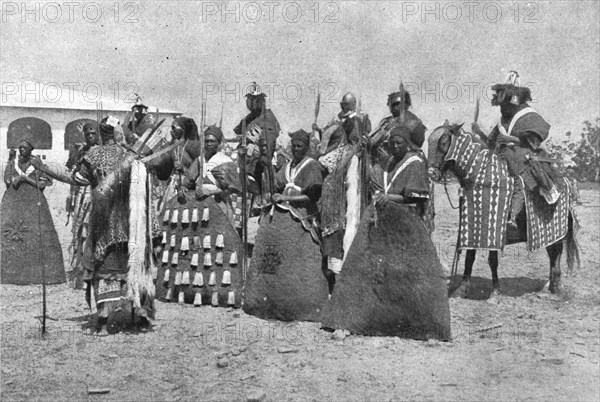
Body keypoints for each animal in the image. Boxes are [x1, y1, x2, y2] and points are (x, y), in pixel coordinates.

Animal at [428, 121, 580, 300]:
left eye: (443, 142)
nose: (432, 173)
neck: (481, 177)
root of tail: (564, 180)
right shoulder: (472, 228)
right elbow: (469, 257)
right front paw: (462, 288)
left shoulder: (494, 229)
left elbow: (492, 260)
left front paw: (494, 292)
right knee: (552, 253)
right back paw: (549, 286)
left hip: (557, 228)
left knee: (556, 252)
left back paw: (557, 286)